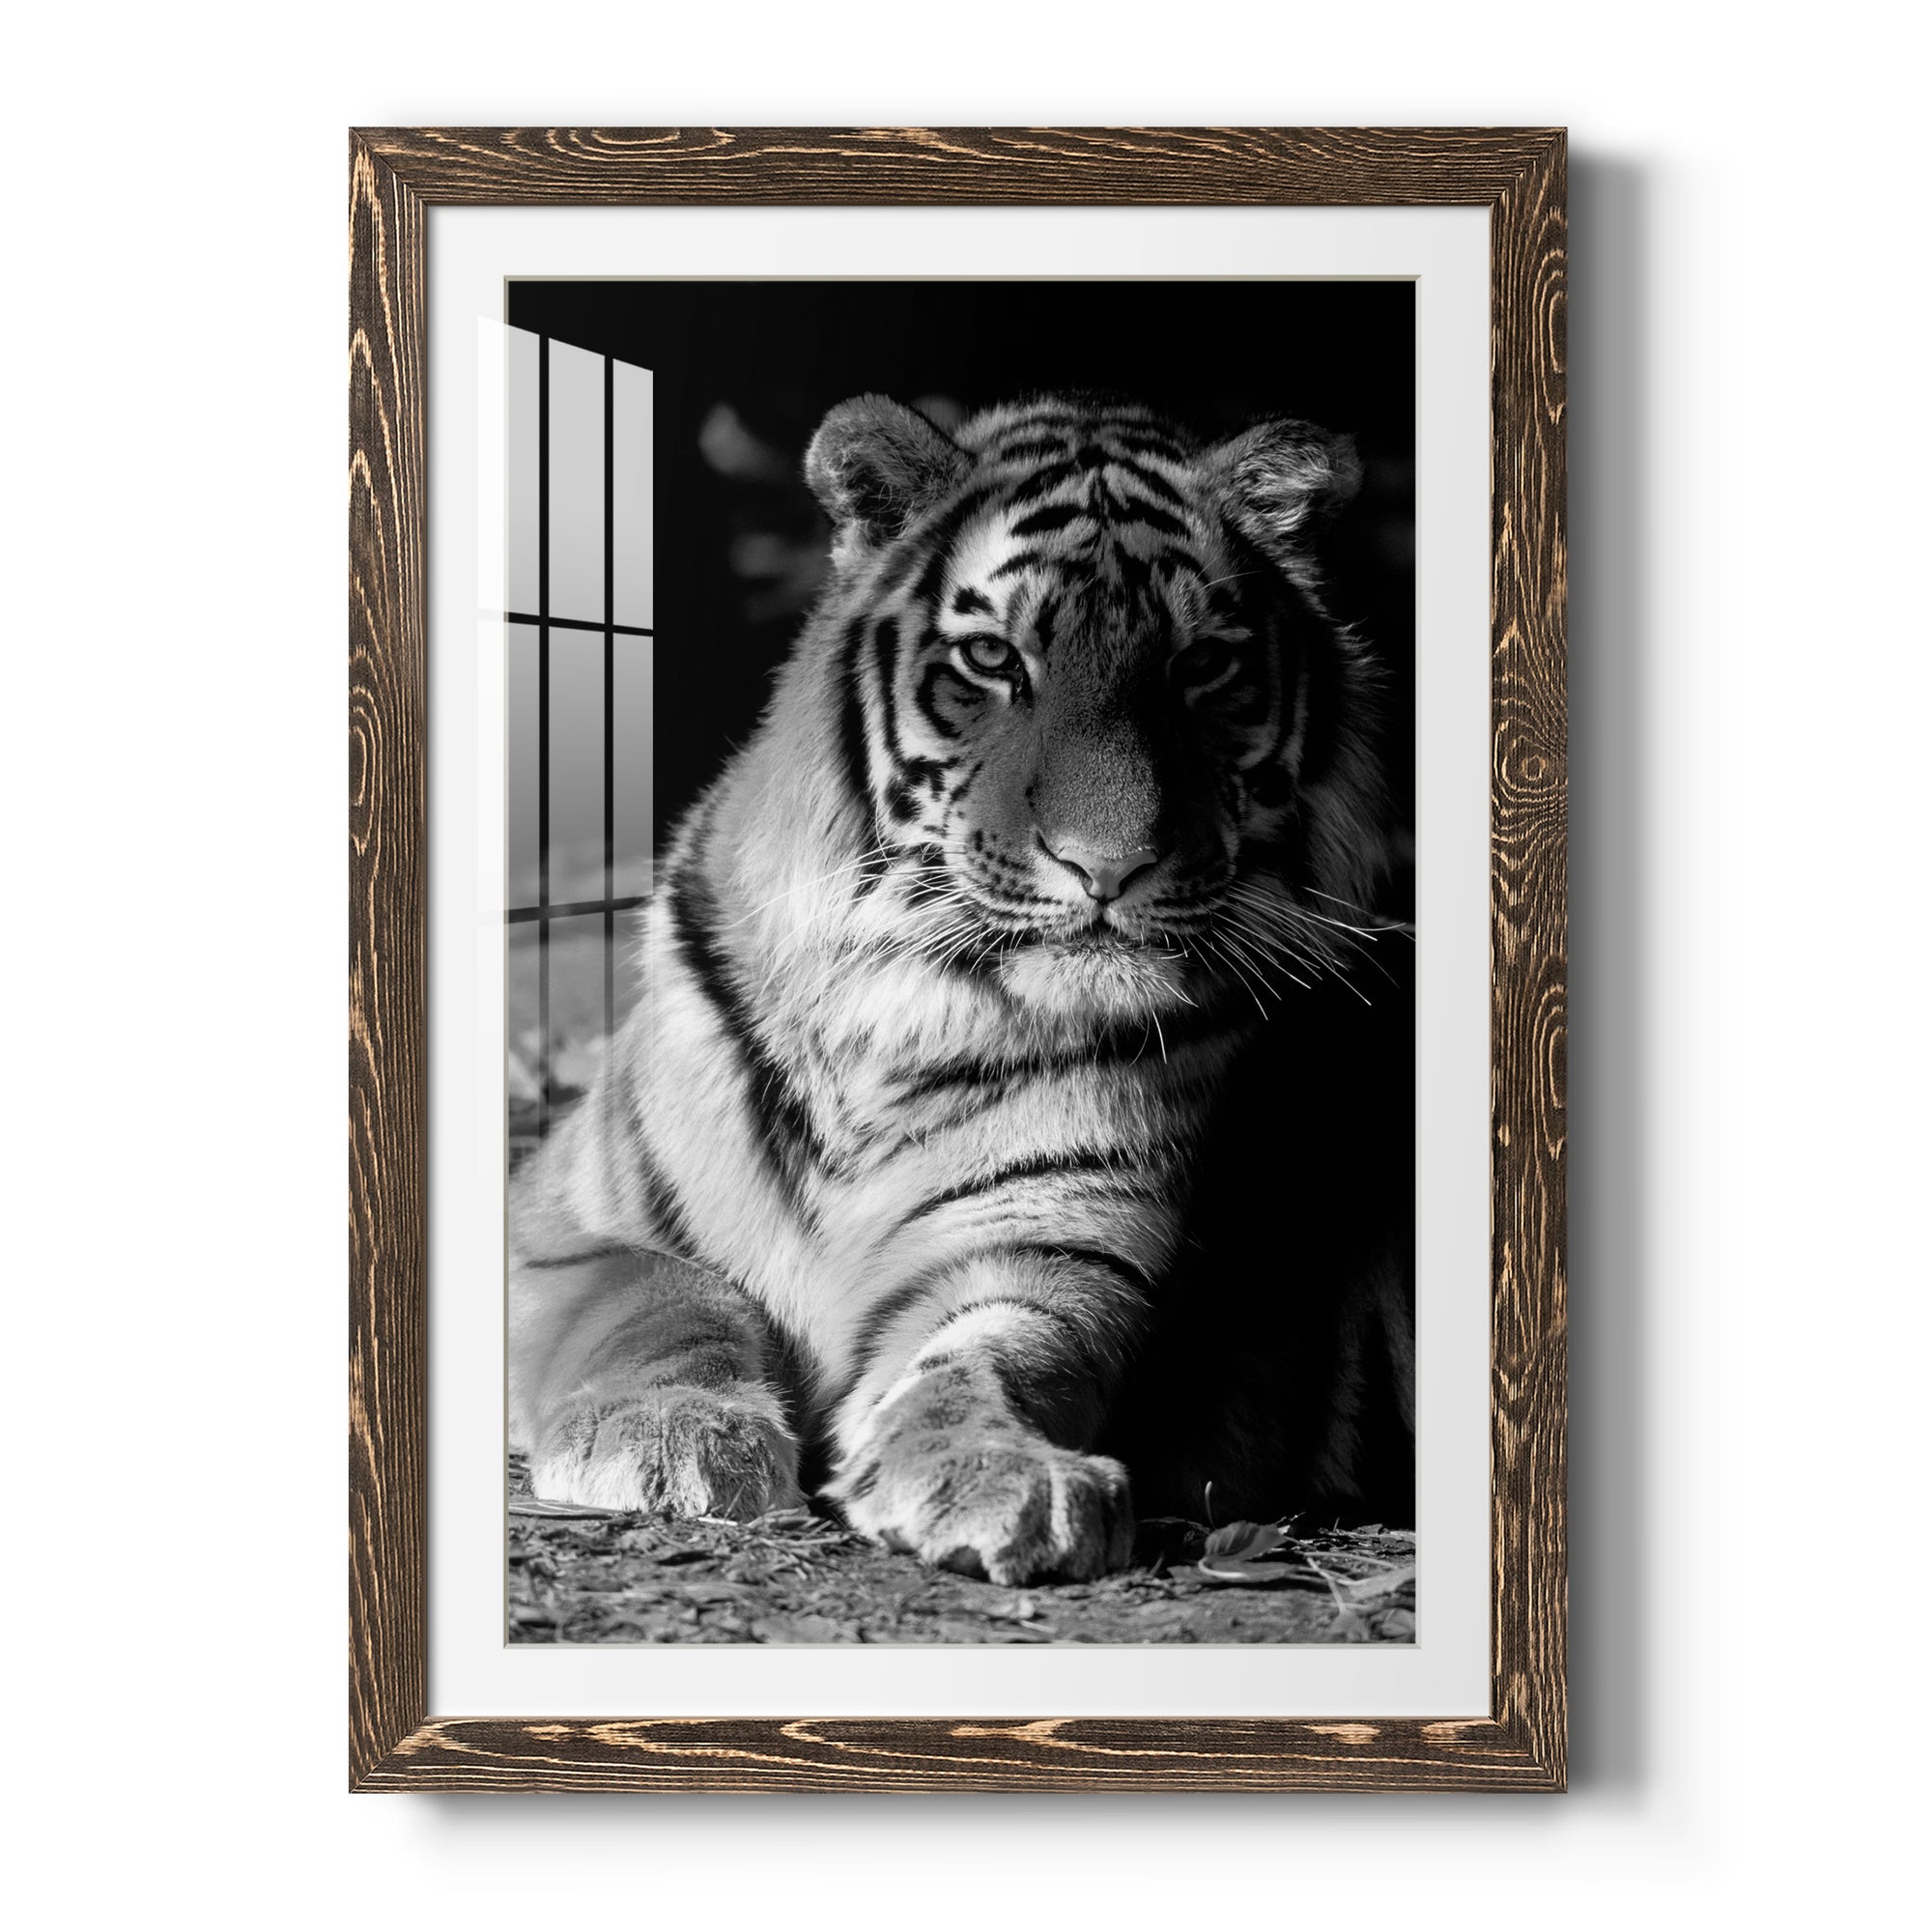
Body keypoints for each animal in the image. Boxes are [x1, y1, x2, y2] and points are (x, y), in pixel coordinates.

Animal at [509, 391, 1414, 1588]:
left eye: (1200, 667)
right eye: (992, 658)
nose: (1108, 866)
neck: (896, 1011)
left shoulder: (1049, 1247)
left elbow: (990, 1355)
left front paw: (999, 1472)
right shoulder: (560, 1219)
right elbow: (664, 1298)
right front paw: (666, 1435)